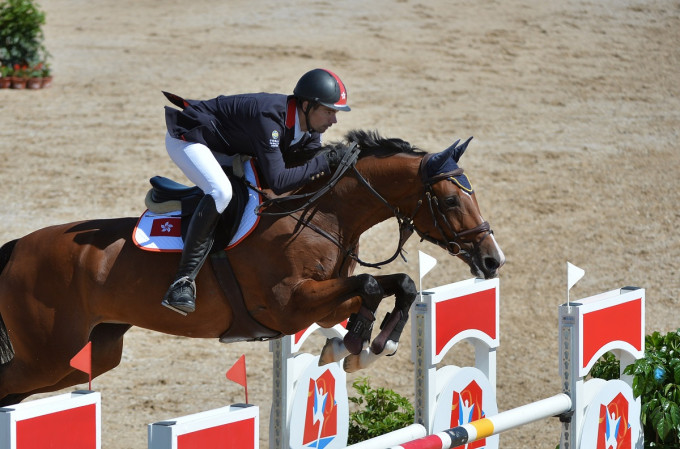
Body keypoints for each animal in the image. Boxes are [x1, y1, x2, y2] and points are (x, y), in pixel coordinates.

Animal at [0, 130, 500, 406]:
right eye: (450, 201)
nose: (492, 259)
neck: (321, 212)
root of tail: (18, 248)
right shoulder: (288, 305)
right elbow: (372, 285)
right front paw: (355, 345)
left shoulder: (322, 301)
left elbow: (398, 284)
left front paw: (369, 346)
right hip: (48, 356)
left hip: (88, 355)